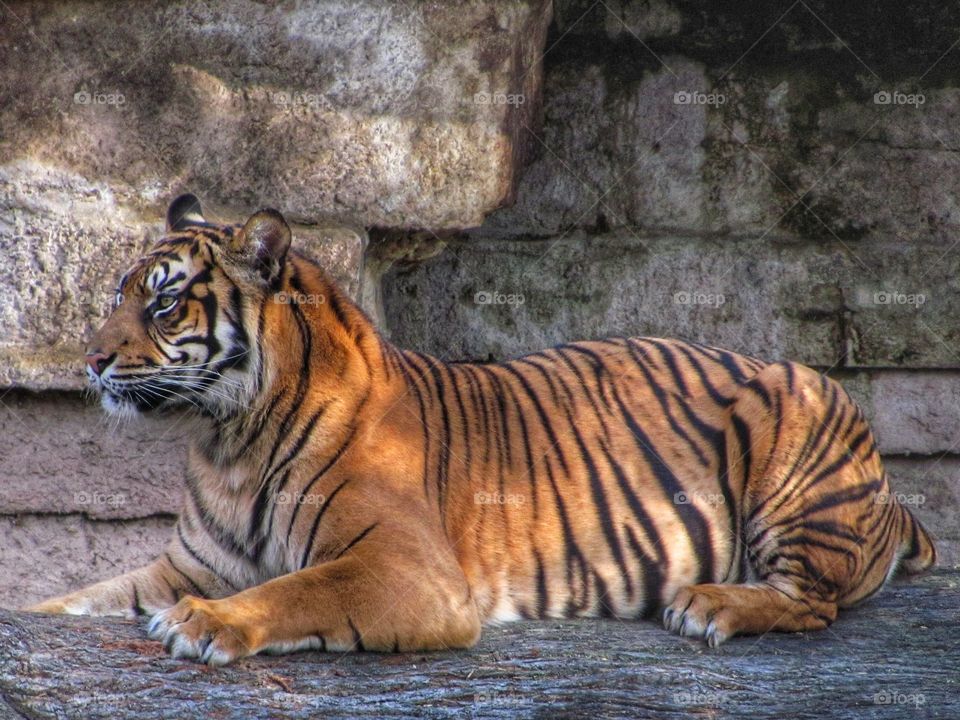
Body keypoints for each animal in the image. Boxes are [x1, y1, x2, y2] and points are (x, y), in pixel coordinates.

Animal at [28, 194, 936, 665]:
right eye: (118, 294)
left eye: (164, 303)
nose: (89, 361)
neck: (228, 440)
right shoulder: (187, 565)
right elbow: (74, 599)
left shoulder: (404, 567)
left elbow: (297, 589)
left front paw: (202, 626)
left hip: (799, 427)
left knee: (815, 602)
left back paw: (708, 605)